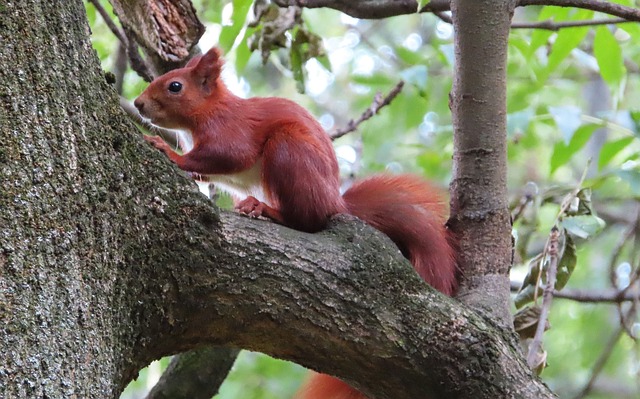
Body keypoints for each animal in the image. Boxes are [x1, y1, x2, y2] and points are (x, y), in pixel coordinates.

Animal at [135, 47, 458, 399]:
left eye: (175, 86)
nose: (138, 104)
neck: (209, 110)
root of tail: (335, 202)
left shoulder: (230, 130)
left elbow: (228, 154)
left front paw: (168, 151)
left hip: (289, 150)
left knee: (308, 219)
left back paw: (266, 210)